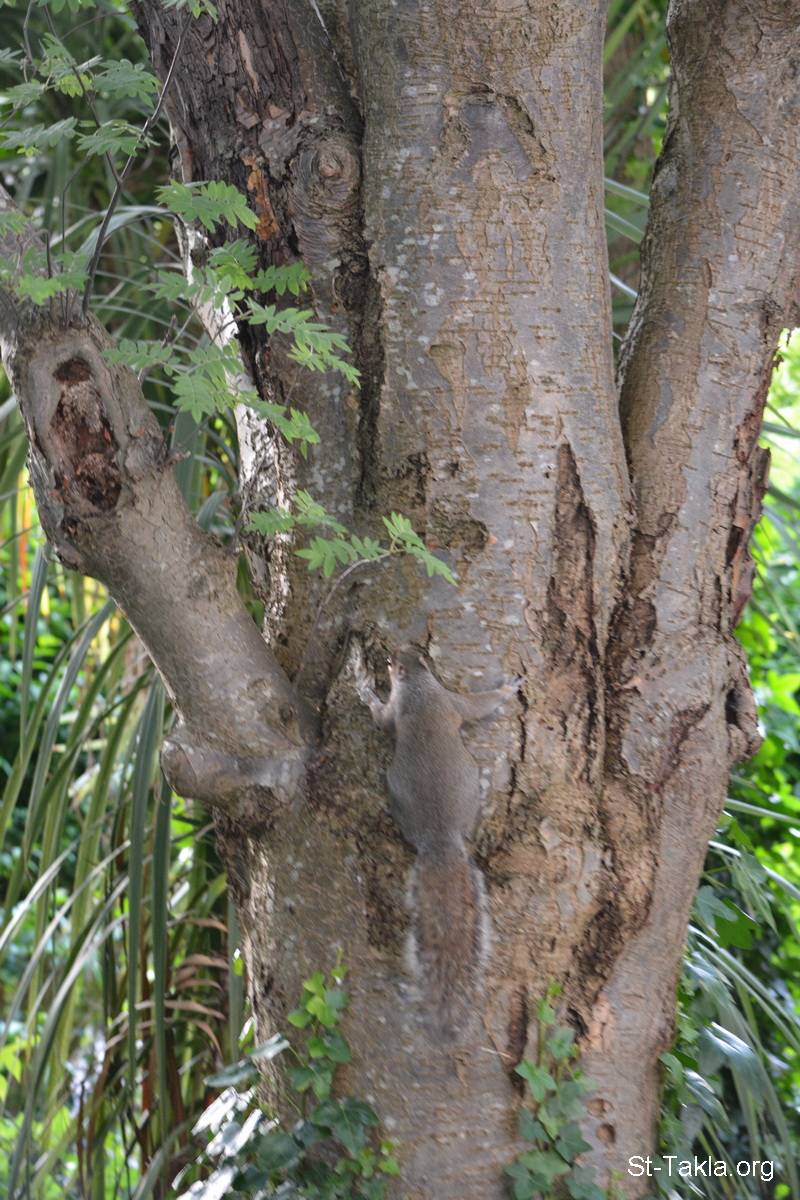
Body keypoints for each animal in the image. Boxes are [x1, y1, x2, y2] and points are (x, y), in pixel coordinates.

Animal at [355, 644, 519, 1040]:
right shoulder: (444, 701)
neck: (418, 685)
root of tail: (440, 838)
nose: (392, 652)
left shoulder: (440, 699)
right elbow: (478, 705)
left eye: (400, 657)